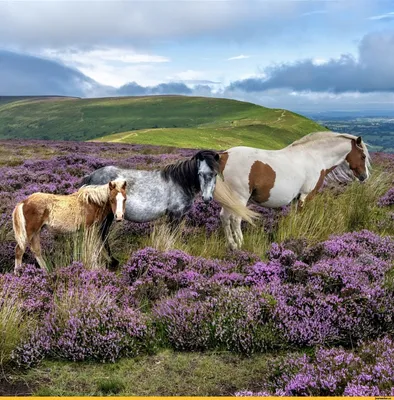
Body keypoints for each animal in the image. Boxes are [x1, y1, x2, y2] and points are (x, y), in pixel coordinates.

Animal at [81, 148, 258, 268]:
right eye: (200, 173)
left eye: (215, 174)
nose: (207, 198)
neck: (181, 182)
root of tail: (91, 176)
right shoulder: (176, 215)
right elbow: (172, 237)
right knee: (102, 235)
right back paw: (112, 261)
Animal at [220, 133, 370, 248]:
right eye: (363, 156)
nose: (364, 176)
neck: (315, 156)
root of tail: (225, 155)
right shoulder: (306, 195)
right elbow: (301, 216)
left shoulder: (296, 198)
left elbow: (294, 217)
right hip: (239, 198)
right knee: (236, 219)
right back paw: (240, 244)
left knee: (224, 217)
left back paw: (232, 245)